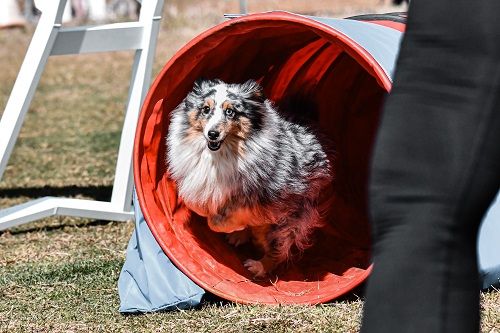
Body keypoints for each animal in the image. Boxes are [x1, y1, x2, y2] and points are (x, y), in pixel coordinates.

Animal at [166, 78, 334, 278]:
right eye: (206, 109)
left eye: (230, 111)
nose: (212, 134)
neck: (219, 155)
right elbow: (197, 204)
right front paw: (230, 224)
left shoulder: (265, 199)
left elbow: (217, 221)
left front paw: (233, 226)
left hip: (290, 220)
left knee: (278, 248)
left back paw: (259, 265)